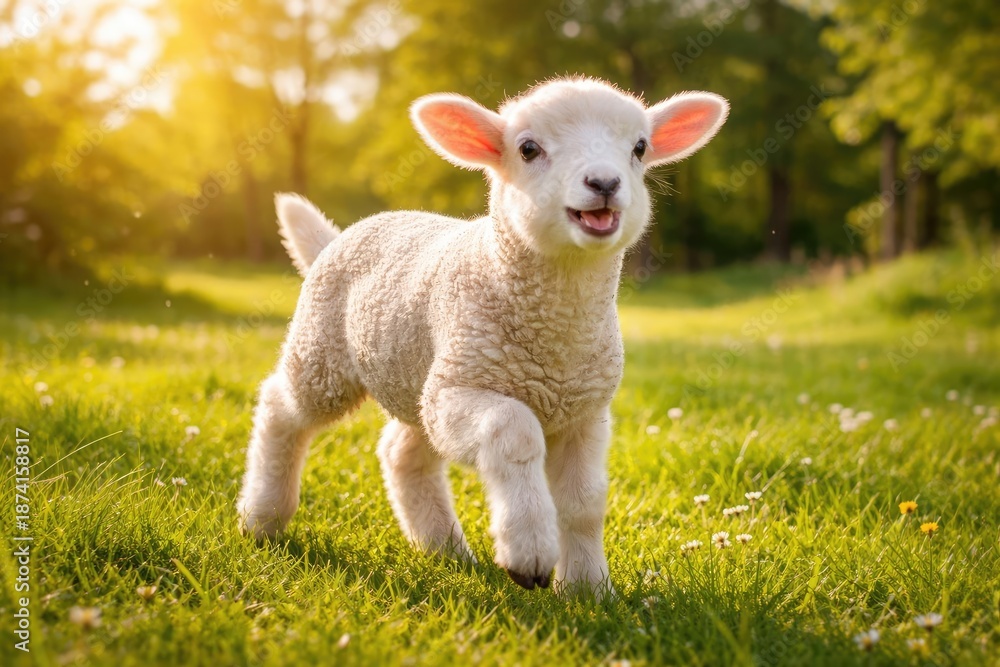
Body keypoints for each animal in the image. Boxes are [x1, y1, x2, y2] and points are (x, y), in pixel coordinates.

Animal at [237, 77, 728, 598]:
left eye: (639, 148)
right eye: (528, 148)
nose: (604, 184)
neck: (555, 342)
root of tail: (336, 238)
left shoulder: (585, 411)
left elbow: (585, 501)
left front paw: (588, 588)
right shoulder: (462, 385)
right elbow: (513, 432)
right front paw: (529, 552)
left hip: (415, 376)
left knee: (403, 451)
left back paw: (444, 549)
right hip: (324, 350)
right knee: (281, 406)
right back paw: (262, 517)